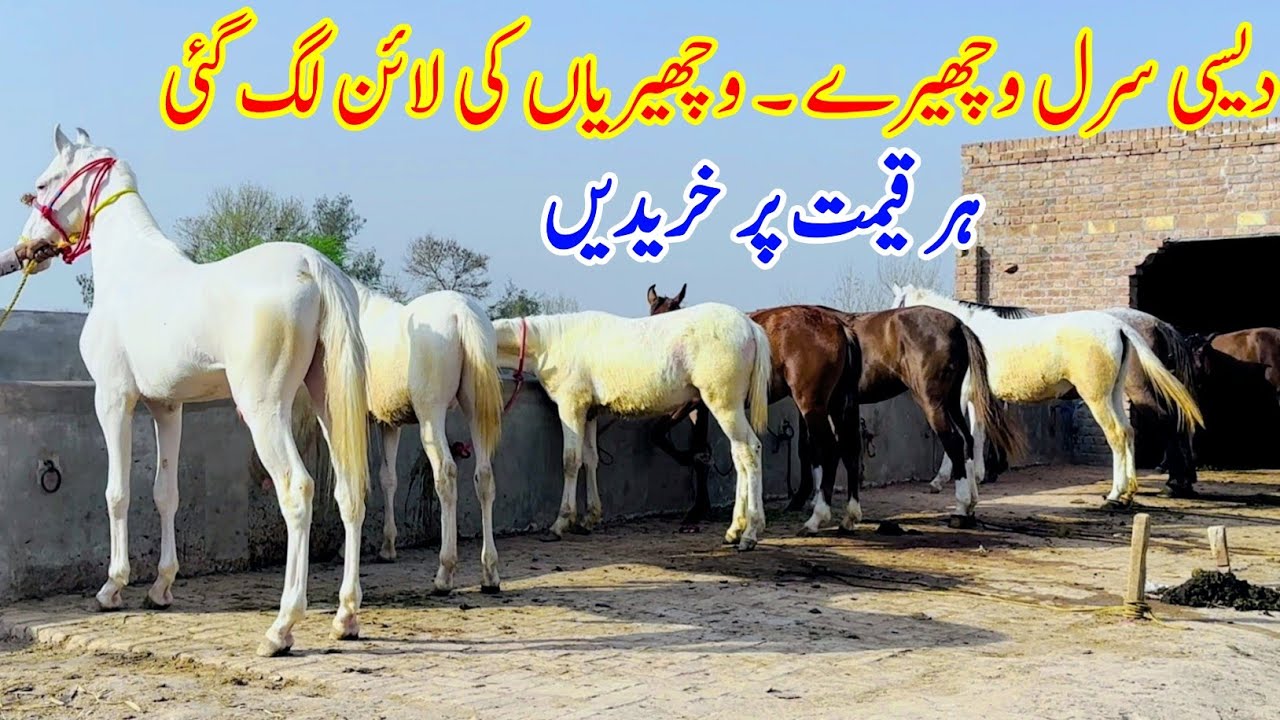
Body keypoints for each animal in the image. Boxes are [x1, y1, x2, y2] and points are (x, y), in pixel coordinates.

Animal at [18, 126, 371, 657]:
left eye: (42, 184)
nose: (24, 249)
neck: (130, 271)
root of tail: (313, 265)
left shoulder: (113, 400)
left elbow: (118, 492)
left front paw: (112, 588)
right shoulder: (168, 407)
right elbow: (166, 493)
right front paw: (161, 588)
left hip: (265, 409)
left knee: (297, 489)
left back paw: (282, 627)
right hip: (328, 403)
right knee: (349, 491)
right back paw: (345, 617)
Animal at [354, 283, 504, 594]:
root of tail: (462, 312)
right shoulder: (390, 424)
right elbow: (388, 478)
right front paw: (388, 548)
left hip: (430, 415)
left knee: (446, 475)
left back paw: (444, 574)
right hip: (476, 411)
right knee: (484, 477)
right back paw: (490, 574)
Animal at [491, 304, 772, 550]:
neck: (553, 343)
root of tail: (749, 325)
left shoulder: (571, 407)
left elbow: (570, 461)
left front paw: (560, 523)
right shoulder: (590, 413)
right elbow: (590, 459)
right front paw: (589, 518)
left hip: (725, 404)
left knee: (749, 451)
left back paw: (749, 533)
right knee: (739, 455)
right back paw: (734, 530)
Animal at [646, 285, 1026, 529]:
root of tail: (959, 325)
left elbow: (666, 435)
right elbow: (833, 450)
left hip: (929, 401)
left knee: (952, 442)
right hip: (945, 401)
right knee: (966, 441)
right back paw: (968, 503)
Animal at [892, 284, 1204, 509]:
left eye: (896, 308)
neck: (964, 332)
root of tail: (1121, 327)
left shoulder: (961, 396)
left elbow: (962, 436)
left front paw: (942, 479)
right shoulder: (977, 397)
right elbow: (978, 433)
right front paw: (979, 474)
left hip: (1104, 396)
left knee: (1127, 432)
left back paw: (1125, 493)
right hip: (1115, 394)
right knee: (1129, 432)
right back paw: (1134, 491)